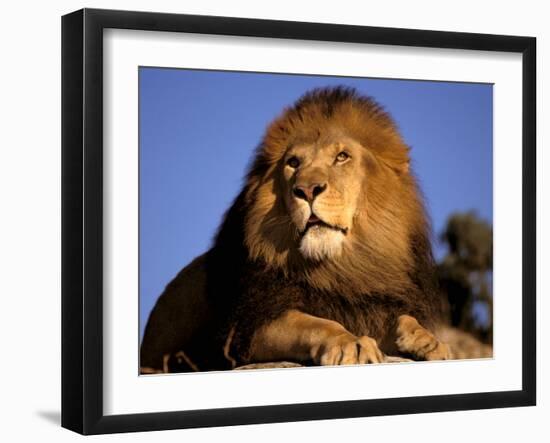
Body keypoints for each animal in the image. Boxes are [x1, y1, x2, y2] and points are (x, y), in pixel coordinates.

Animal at [141, 86, 452, 374]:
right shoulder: (249, 326)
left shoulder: (372, 305)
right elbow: (315, 324)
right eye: (293, 163)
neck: (342, 267)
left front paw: (429, 340)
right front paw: (352, 342)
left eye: (342, 156)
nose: (307, 190)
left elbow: (401, 319)